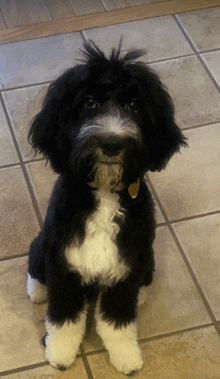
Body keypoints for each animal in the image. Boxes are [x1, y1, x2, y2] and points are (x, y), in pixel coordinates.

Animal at [26, 40, 186, 374]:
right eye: (88, 102)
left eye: (135, 106)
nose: (112, 143)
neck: (103, 193)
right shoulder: (63, 265)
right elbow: (63, 319)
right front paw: (59, 354)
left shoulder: (126, 267)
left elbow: (117, 320)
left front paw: (127, 356)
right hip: (41, 244)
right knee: (35, 270)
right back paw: (37, 291)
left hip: (148, 259)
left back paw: (142, 294)